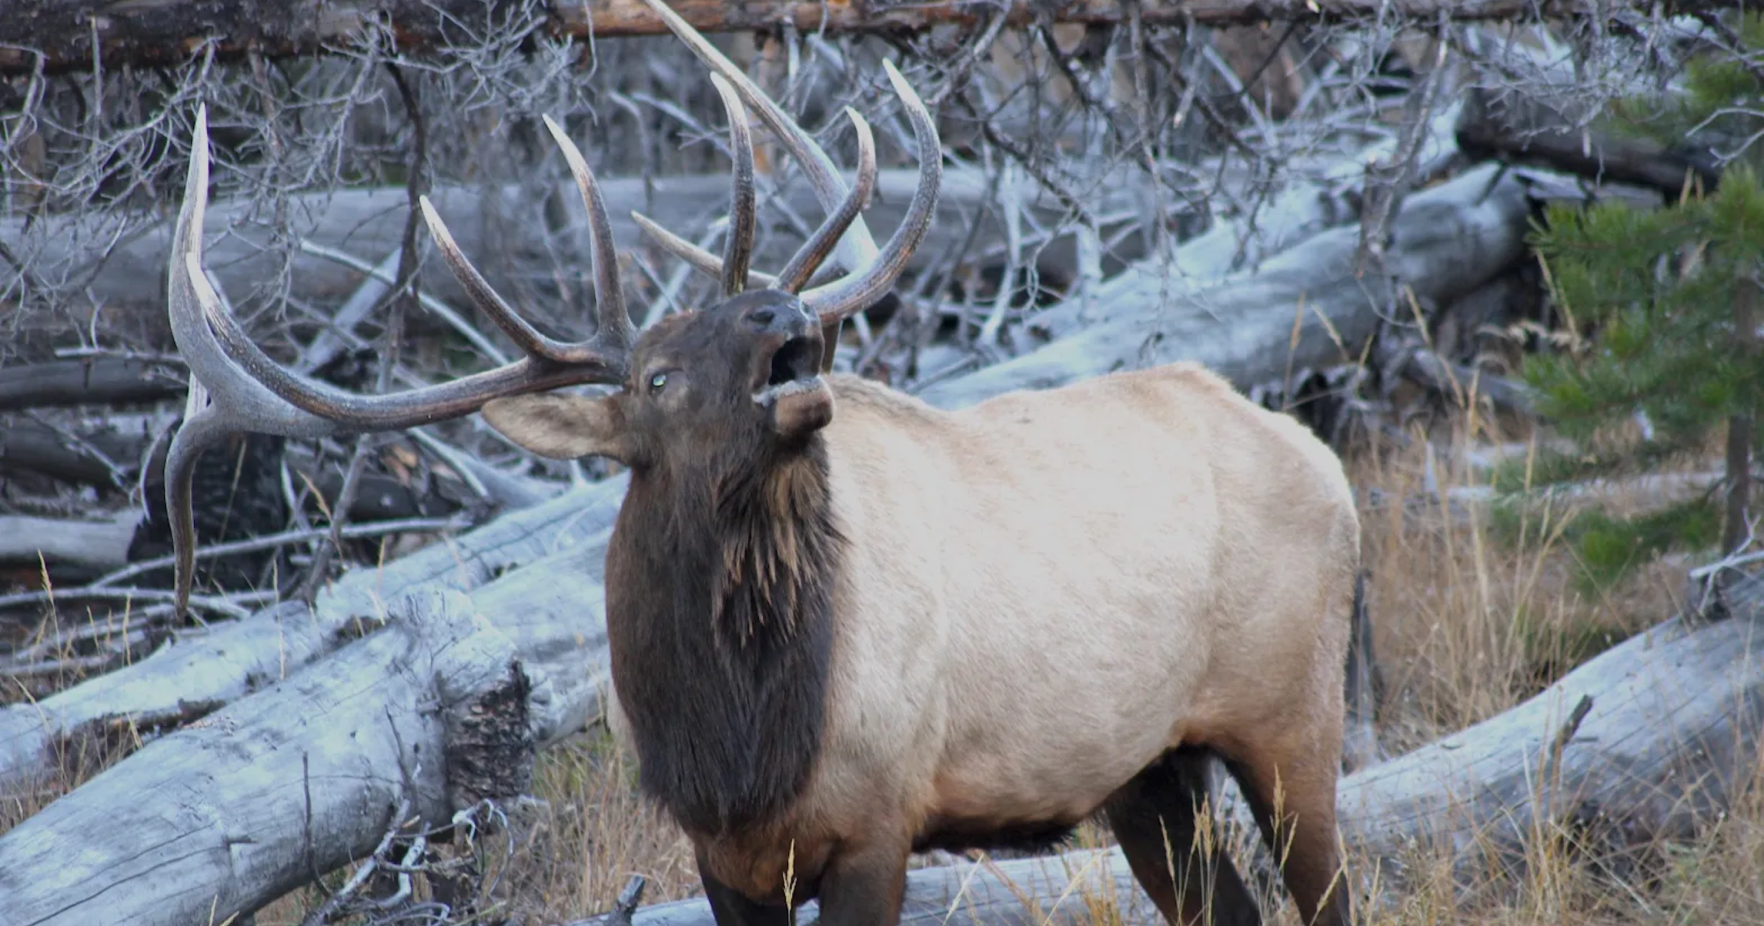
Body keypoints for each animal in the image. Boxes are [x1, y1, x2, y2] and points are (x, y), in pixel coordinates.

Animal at [159, 2, 1359, 924]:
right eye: (654, 378)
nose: (783, 306)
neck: (737, 744)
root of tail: (1319, 455)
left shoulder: (880, 819)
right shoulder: (721, 857)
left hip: (1294, 714)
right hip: (1151, 770)